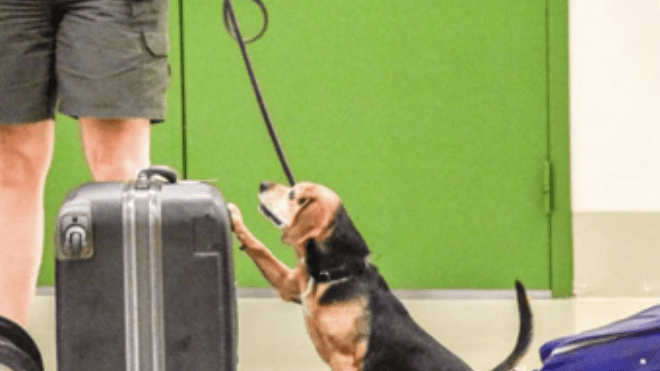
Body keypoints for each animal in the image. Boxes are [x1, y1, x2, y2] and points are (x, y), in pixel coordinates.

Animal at [227, 182, 532, 371]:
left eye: (293, 194)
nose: (263, 184)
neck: (339, 271)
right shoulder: (290, 284)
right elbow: (259, 247)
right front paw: (235, 219)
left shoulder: (345, 361)